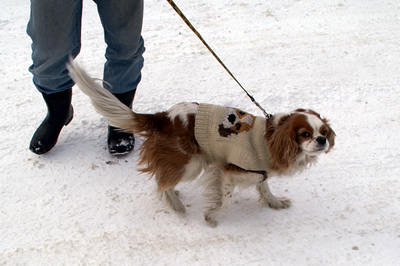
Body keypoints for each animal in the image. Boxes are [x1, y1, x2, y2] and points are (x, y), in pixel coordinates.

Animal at [68, 61, 334, 228]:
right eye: (305, 134)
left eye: (323, 132)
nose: (322, 140)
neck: (269, 139)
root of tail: (163, 117)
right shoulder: (227, 170)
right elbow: (224, 200)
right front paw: (211, 216)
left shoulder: (258, 172)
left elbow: (265, 187)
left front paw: (274, 203)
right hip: (191, 163)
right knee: (161, 184)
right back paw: (175, 205)